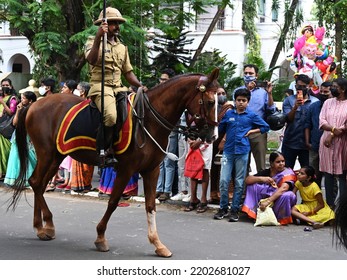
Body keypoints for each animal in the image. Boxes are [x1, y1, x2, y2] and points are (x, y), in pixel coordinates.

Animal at [8, 67, 220, 256]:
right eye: (210, 102)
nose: (212, 136)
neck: (149, 119)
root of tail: (33, 105)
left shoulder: (152, 170)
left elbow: (150, 205)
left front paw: (157, 244)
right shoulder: (127, 169)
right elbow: (113, 201)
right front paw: (100, 237)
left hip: (56, 155)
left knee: (39, 184)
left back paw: (42, 226)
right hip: (47, 153)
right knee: (36, 182)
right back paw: (45, 225)